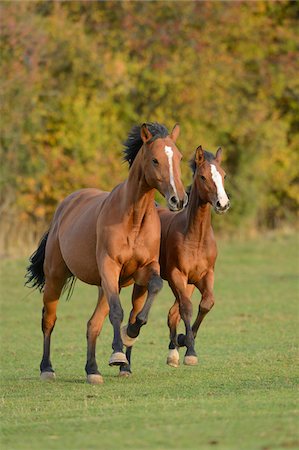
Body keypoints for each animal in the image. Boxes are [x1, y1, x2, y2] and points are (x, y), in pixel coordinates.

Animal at [27, 122, 189, 384]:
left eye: (180, 158)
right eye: (155, 160)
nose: (179, 199)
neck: (133, 218)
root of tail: (64, 207)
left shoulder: (145, 270)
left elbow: (147, 298)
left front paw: (129, 336)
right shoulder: (110, 267)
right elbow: (117, 312)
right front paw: (117, 355)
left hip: (105, 286)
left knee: (93, 324)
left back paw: (93, 370)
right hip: (56, 277)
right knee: (49, 320)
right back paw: (47, 369)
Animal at [159, 146, 230, 368]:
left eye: (223, 175)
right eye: (203, 176)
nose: (222, 204)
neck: (196, 238)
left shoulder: (203, 276)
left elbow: (206, 303)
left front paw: (183, 340)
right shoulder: (177, 274)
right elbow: (187, 308)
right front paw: (190, 350)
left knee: (172, 313)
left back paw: (173, 350)